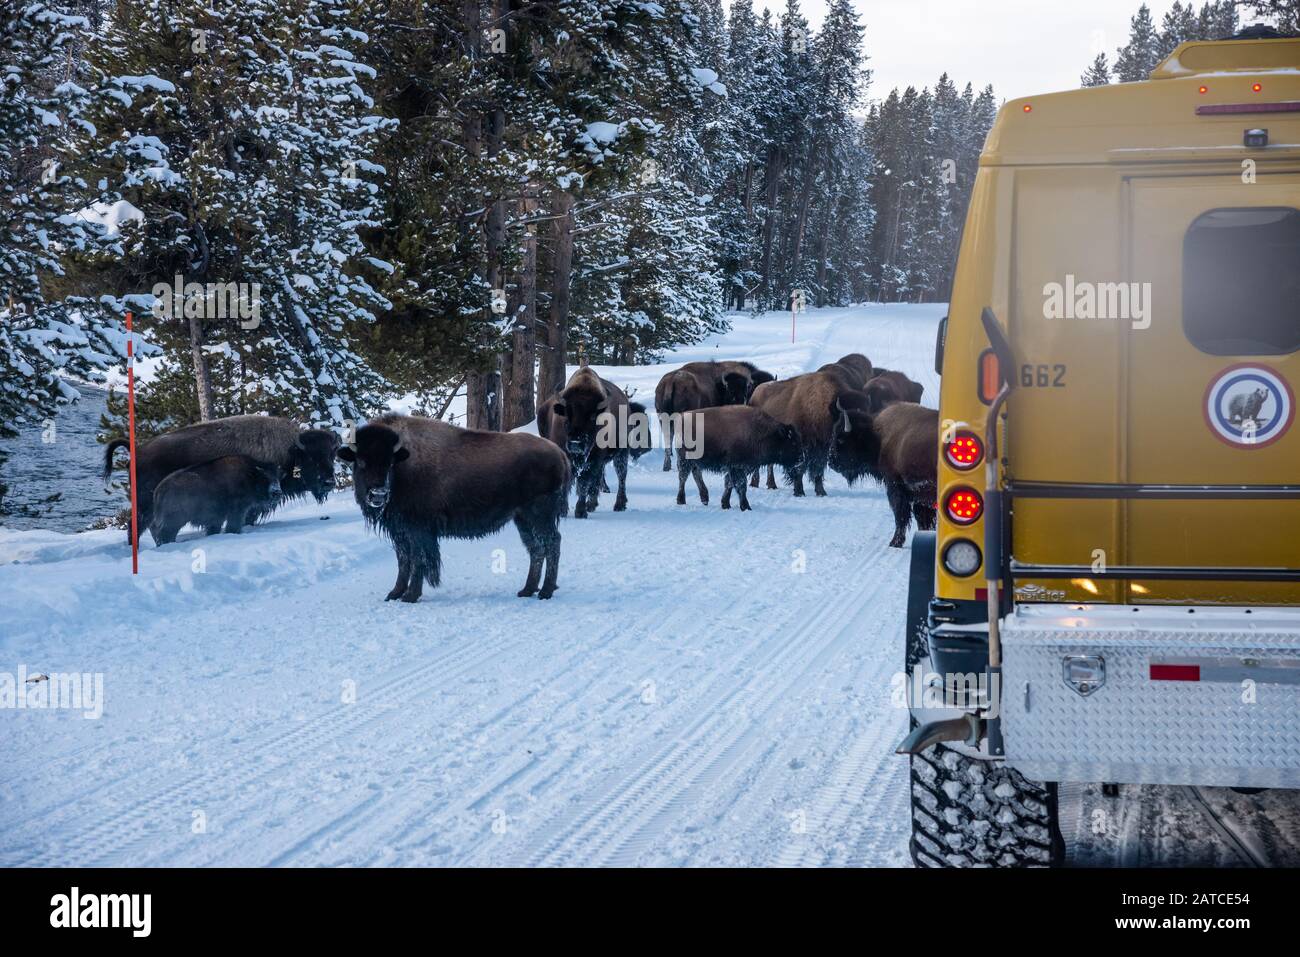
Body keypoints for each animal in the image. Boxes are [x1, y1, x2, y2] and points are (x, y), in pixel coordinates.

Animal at [149, 455, 282, 546]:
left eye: (277, 476)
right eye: (264, 477)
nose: (277, 492)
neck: (249, 475)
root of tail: (159, 490)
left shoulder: (216, 517)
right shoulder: (237, 510)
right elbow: (233, 525)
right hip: (174, 521)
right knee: (165, 534)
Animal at [338, 413, 569, 602]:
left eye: (389, 463)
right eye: (361, 461)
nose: (378, 494)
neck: (404, 464)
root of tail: (559, 453)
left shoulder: (417, 530)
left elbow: (418, 560)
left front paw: (410, 596)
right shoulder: (401, 533)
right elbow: (403, 561)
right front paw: (394, 594)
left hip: (539, 515)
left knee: (552, 543)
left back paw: (545, 591)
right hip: (522, 518)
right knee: (536, 549)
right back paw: (527, 590)